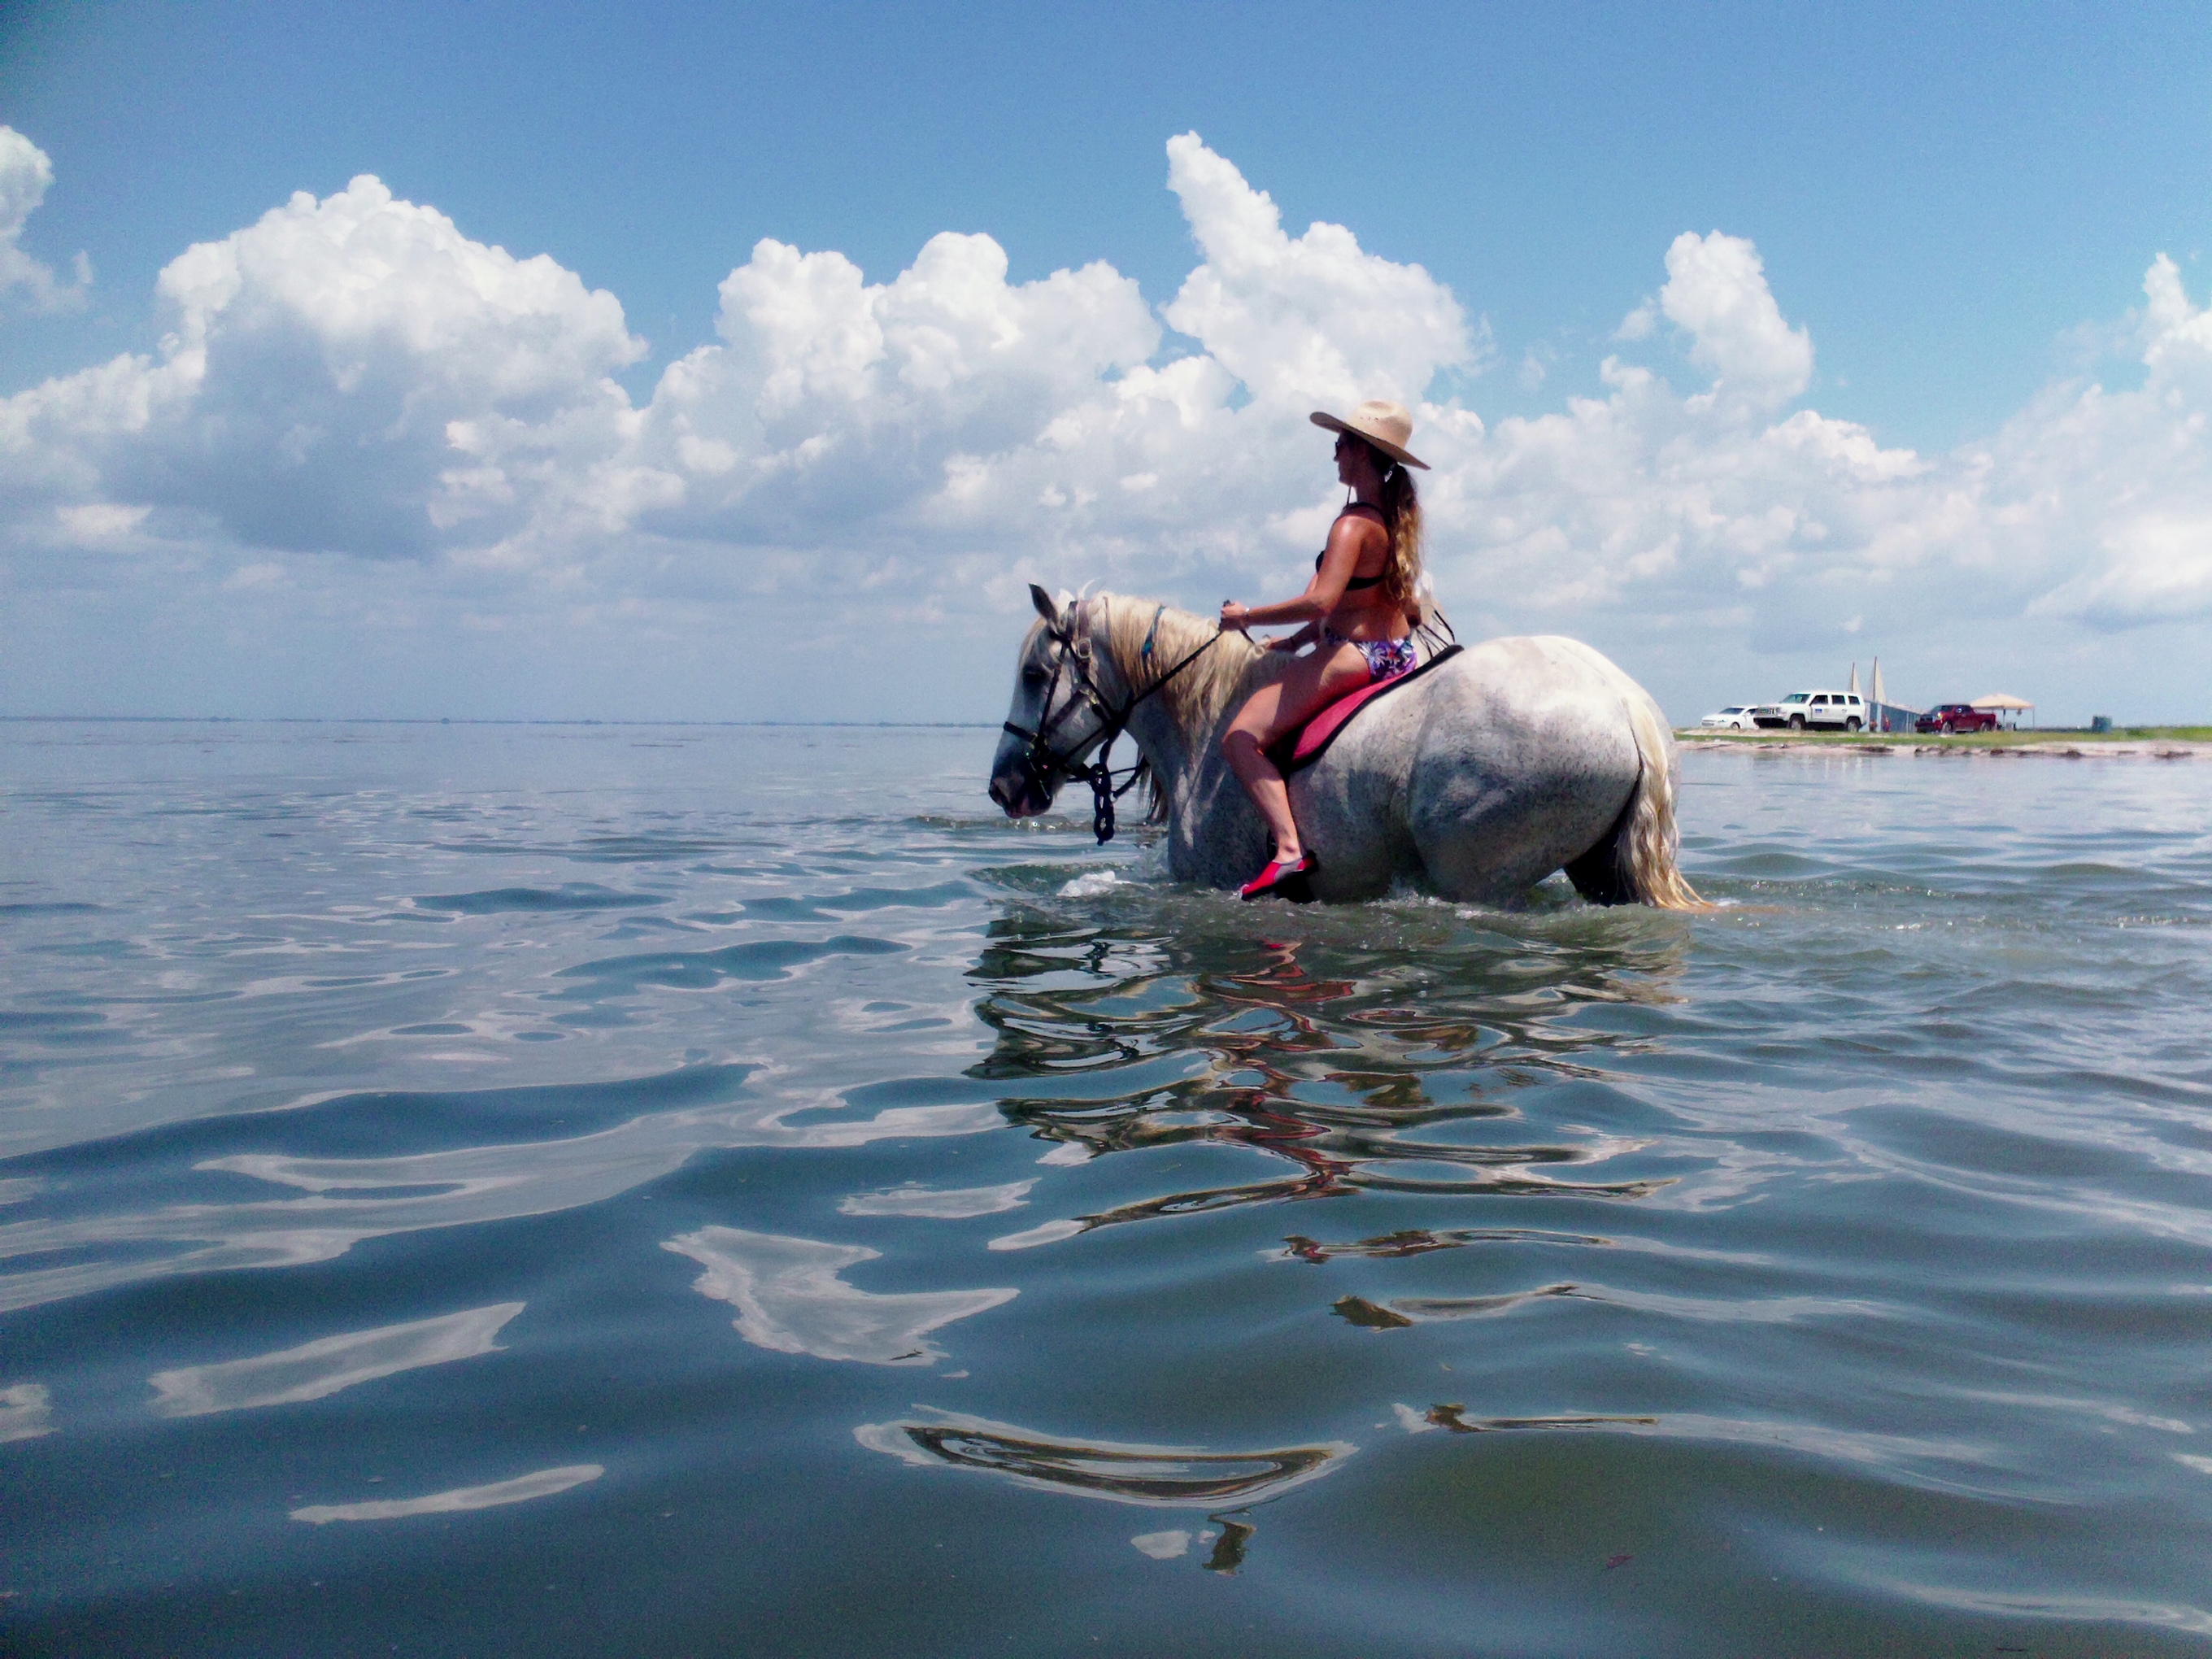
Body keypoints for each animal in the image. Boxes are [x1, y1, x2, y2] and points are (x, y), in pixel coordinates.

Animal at [995, 588, 1698, 911]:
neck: (1205, 724)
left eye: (1032, 674)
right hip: (1599, 869)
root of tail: (1624, 702)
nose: (1005, 786)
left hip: (1477, 873)